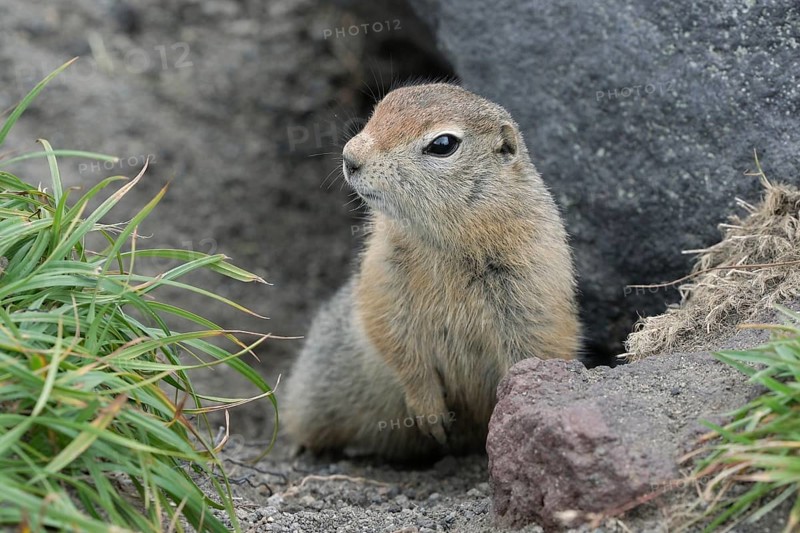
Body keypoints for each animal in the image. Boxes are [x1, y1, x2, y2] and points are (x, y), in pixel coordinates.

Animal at [282, 83, 580, 461]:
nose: (350, 157)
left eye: (443, 144)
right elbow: (392, 336)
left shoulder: (533, 280)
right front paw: (430, 413)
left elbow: (536, 346)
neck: (445, 242)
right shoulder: (382, 271)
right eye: (381, 107)